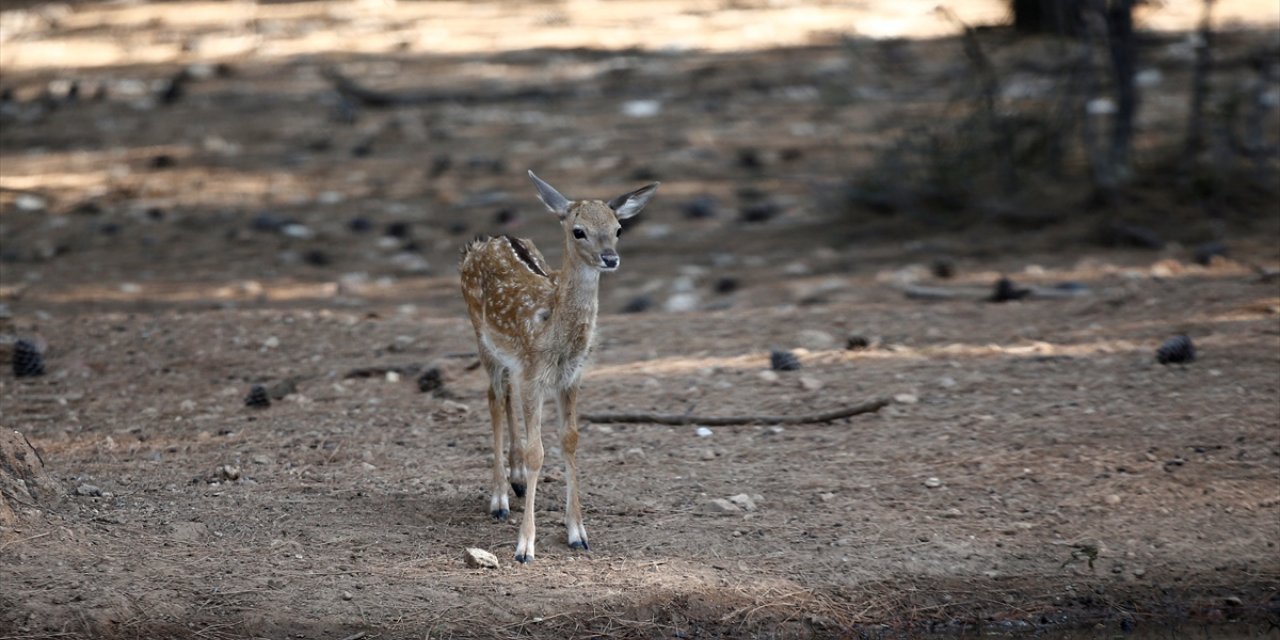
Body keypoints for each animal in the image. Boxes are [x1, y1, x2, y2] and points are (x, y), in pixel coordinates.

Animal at [460, 171, 660, 565]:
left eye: (618, 228)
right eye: (578, 231)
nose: (610, 258)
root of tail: (490, 239)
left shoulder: (570, 377)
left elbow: (571, 440)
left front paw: (578, 533)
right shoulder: (534, 374)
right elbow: (538, 451)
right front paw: (524, 547)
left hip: (511, 360)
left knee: (505, 395)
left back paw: (517, 480)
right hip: (481, 337)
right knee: (494, 399)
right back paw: (499, 499)